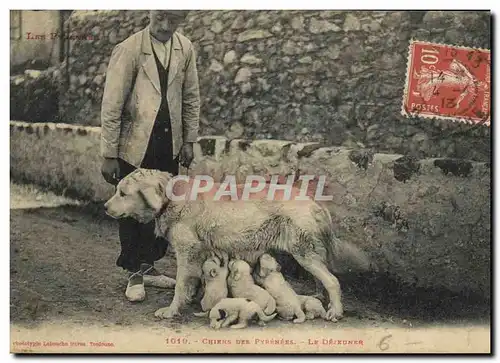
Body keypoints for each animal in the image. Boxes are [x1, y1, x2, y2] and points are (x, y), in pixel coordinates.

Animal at [103, 169, 370, 322]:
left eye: (123, 193)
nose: (105, 207)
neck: (171, 197)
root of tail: (316, 203)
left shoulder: (187, 253)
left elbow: (180, 286)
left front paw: (171, 311)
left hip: (304, 253)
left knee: (332, 281)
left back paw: (335, 311)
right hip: (308, 254)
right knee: (322, 280)